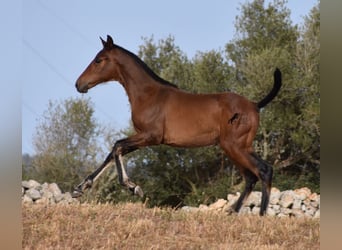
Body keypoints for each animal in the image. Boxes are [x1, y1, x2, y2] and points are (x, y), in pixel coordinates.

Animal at [73, 34, 282, 216]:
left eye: (99, 60)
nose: (78, 84)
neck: (149, 94)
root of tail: (254, 105)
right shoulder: (142, 137)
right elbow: (113, 151)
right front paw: (80, 188)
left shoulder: (151, 136)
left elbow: (117, 146)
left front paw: (133, 187)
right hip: (237, 147)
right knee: (251, 177)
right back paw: (233, 213)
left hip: (234, 146)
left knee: (263, 170)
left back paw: (261, 215)